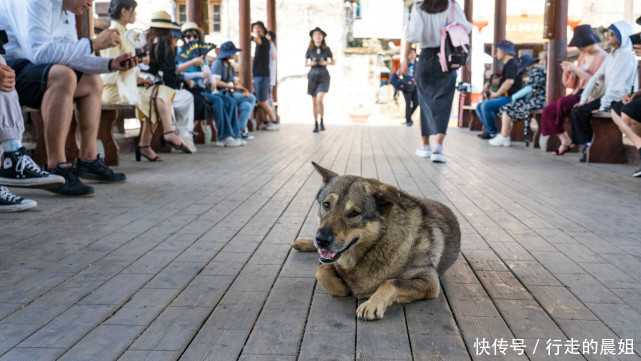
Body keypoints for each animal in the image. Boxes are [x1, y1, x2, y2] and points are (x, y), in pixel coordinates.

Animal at [290, 162, 460, 320]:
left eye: (354, 213)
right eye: (326, 205)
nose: (321, 240)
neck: (378, 244)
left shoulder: (429, 280)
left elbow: (391, 282)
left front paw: (372, 303)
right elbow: (321, 271)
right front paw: (343, 287)